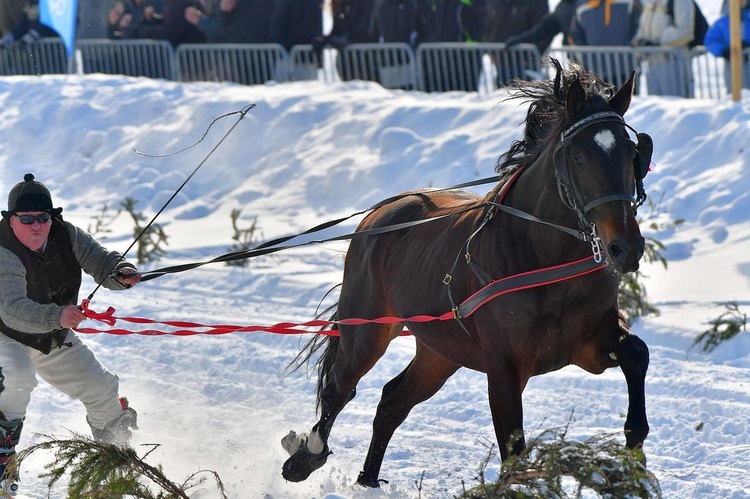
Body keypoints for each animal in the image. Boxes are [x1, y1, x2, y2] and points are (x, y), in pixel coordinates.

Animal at [282, 58, 652, 488]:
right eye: (579, 157)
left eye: (633, 153)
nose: (626, 247)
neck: (545, 259)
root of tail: (383, 211)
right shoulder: (504, 366)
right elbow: (513, 448)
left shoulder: (589, 343)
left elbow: (637, 353)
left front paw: (633, 450)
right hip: (368, 328)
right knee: (339, 388)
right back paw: (306, 457)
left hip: (440, 351)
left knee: (393, 401)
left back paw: (368, 479)